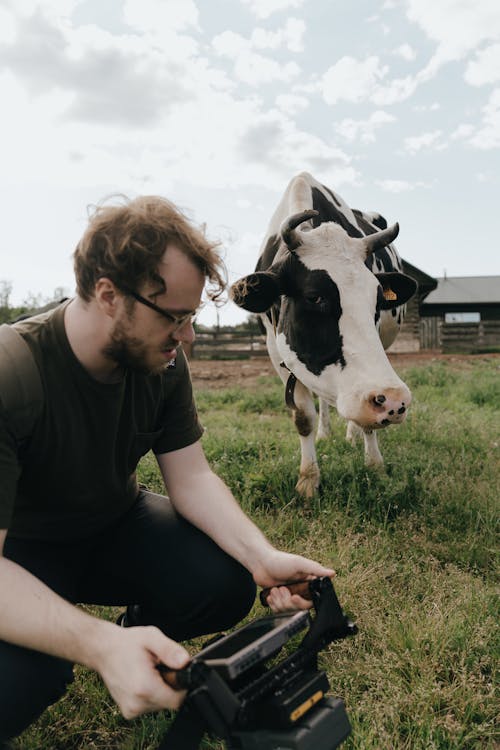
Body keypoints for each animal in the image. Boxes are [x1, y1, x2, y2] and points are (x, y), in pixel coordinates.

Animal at [230, 171, 418, 500]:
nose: (395, 401)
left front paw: (375, 465)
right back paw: (326, 432)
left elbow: (367, 422)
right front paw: (308, 479)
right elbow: (303, 416)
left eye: (377, 301)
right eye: (315, 297)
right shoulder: (276, 352)